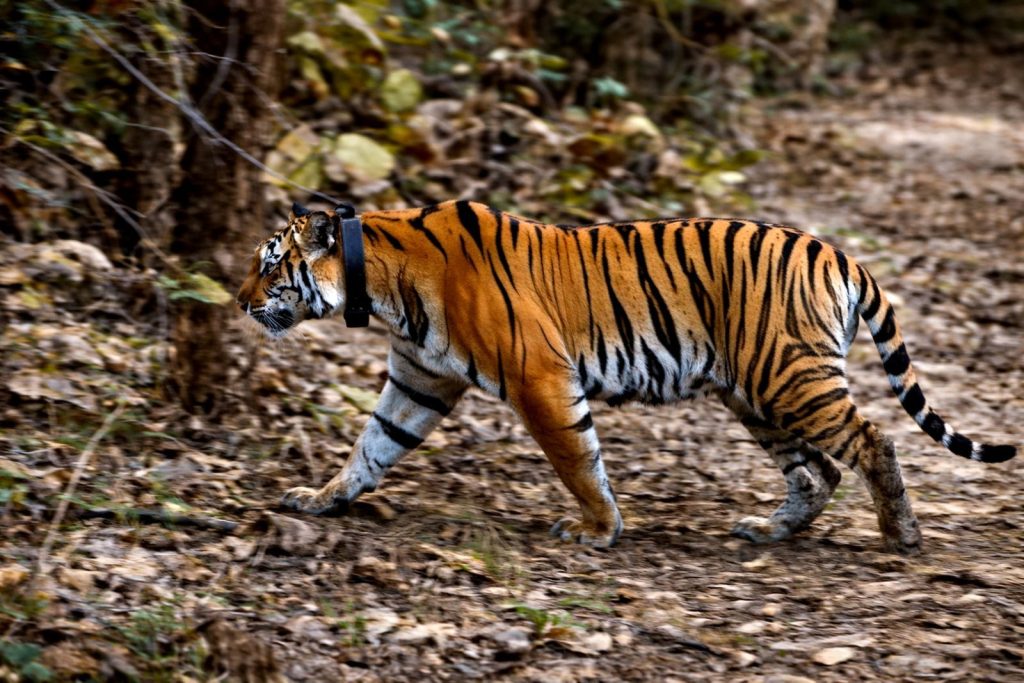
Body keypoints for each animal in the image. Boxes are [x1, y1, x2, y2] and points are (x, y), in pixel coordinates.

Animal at [235, 199, 1017, 554]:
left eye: (270, 265)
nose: (239, 300)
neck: (379, 285)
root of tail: (836, 251)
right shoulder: (419, 379)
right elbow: (370, 447)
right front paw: (320, 500)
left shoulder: (539, 377)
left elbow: (577, 459)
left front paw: (597, 528)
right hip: (756, 391)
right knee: (816, 469)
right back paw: (769, 528)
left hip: (789, 377)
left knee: (873, 440)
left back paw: (902, 533)